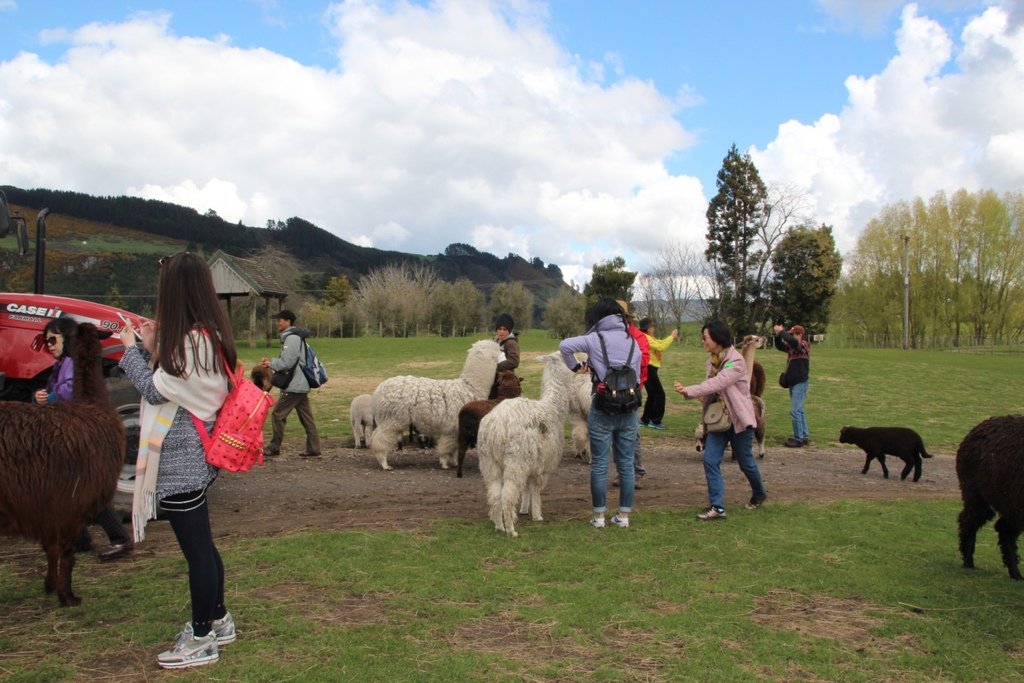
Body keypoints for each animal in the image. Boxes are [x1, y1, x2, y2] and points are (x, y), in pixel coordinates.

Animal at [368, 339, 499, 473]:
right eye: (498, 350)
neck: (470, 388)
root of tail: (378, 391)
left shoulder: (457, 429)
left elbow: (454, 449)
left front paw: (455, 463)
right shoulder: (452, 427)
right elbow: (447, 448)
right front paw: (445, 464)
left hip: (386, 419)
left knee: (375, 437)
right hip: (392, 419)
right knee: (380, 441)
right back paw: (385, 464)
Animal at [477, 356, 577, 536]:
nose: (581, 365)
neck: (554, 408)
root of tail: (496, 427)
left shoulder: (532, 463)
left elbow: (526, 489)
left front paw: (524, 508)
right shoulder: (542, 466)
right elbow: (535, 490)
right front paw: (537, 515)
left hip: (489, 461)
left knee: (495, 495)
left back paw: (499, 526)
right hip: (516, 460)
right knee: (507, 495)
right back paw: (511, 530)